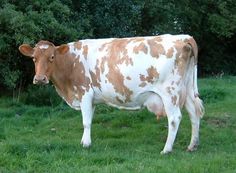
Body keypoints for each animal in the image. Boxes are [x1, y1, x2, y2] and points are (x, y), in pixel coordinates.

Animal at [18, 34, 204, 154]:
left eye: (51, 57)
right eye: (34, 58)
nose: (40, 79)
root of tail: (184, 37)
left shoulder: (85, 93)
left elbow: (86, 122)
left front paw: (86, 144)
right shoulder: (91, 99)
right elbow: (90, 120)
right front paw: (84, 141)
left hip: (170, 92)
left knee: (174, 119)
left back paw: (166, 149)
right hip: (186, 90)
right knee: (194, 113)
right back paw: (192, 146)